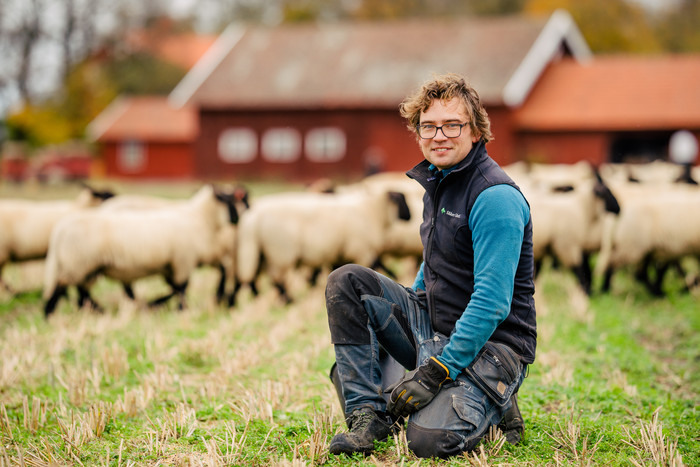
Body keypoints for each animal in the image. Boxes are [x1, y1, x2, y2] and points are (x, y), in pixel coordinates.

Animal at [43, 185, 242, 316]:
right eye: (229, 200)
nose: (237, 220)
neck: (200, 219)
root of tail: (60, 229)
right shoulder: (183, 260)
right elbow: (182, 288)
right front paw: (178, 308)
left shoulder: (177, 263)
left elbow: (180, 286)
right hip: (79, 263)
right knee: (63, 286)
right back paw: (49, 313)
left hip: (84, 265)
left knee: (80, 290)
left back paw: (98, 309)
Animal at [234, 188, 410, 306]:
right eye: (402, 200)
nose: (409, 216)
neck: (373, 212)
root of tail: (254, 217)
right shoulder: (362, 250)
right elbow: (374, 266)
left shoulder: (341, 254)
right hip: (280, 253)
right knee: (276, 280)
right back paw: (289, 300)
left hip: (261, 253)